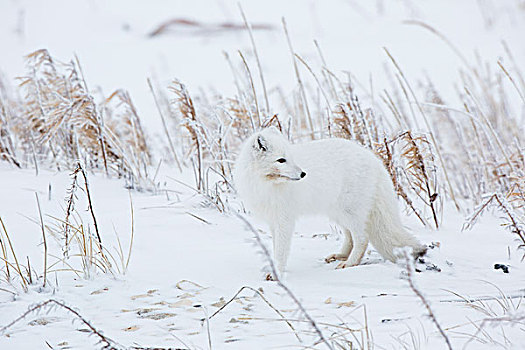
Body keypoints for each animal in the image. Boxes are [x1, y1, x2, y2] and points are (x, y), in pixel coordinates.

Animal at [233, 127, 426, 274]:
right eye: (281, 160)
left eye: (290, 158)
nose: (303, 174)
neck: (265, 183)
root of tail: (373, 159)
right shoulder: (273, 220)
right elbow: (275, 248)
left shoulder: (284, 220)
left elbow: (281, 250)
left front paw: (277, 273)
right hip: (337, 213)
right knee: (349, 237)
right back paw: (341, 256)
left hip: (350, 212)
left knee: (361, 238)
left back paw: (349, 263)